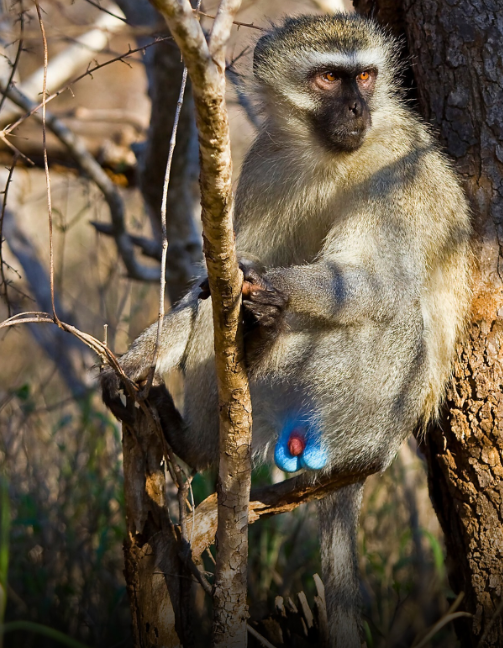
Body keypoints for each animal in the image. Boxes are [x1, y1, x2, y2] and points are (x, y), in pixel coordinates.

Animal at [100, 13, 472, 646]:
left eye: (365, 76)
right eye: (329, 78)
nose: (357, 110)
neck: (332, 156)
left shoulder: (400, 174)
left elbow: (379, 285)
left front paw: (268, 286)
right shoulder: (265, 163)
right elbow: (210, 285)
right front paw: (135, 359)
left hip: (367, 409)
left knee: (394, 318)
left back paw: (265, 334)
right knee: (214, 329)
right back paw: (196, 437)